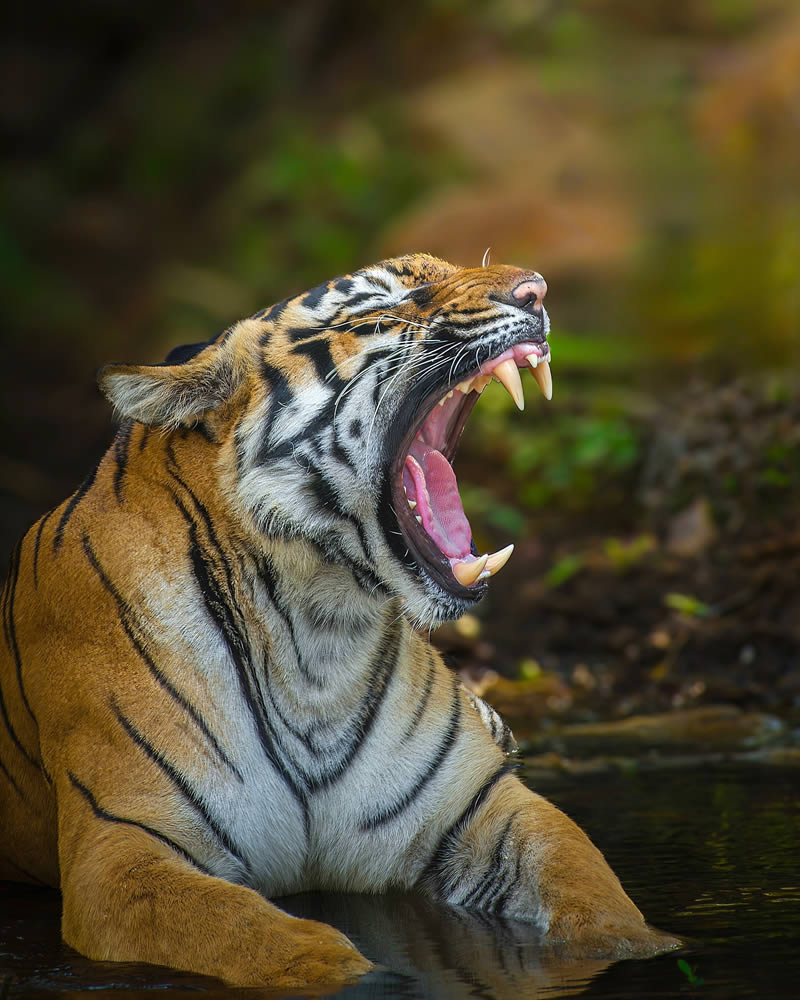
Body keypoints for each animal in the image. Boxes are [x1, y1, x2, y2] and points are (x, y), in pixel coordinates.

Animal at [0, 254, 676, 988]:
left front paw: (646, 946)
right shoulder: (125, 848)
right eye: (387, 304)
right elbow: (258, 936)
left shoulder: (475, 806)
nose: (537, 290)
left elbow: (590, 885)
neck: (317, 634)